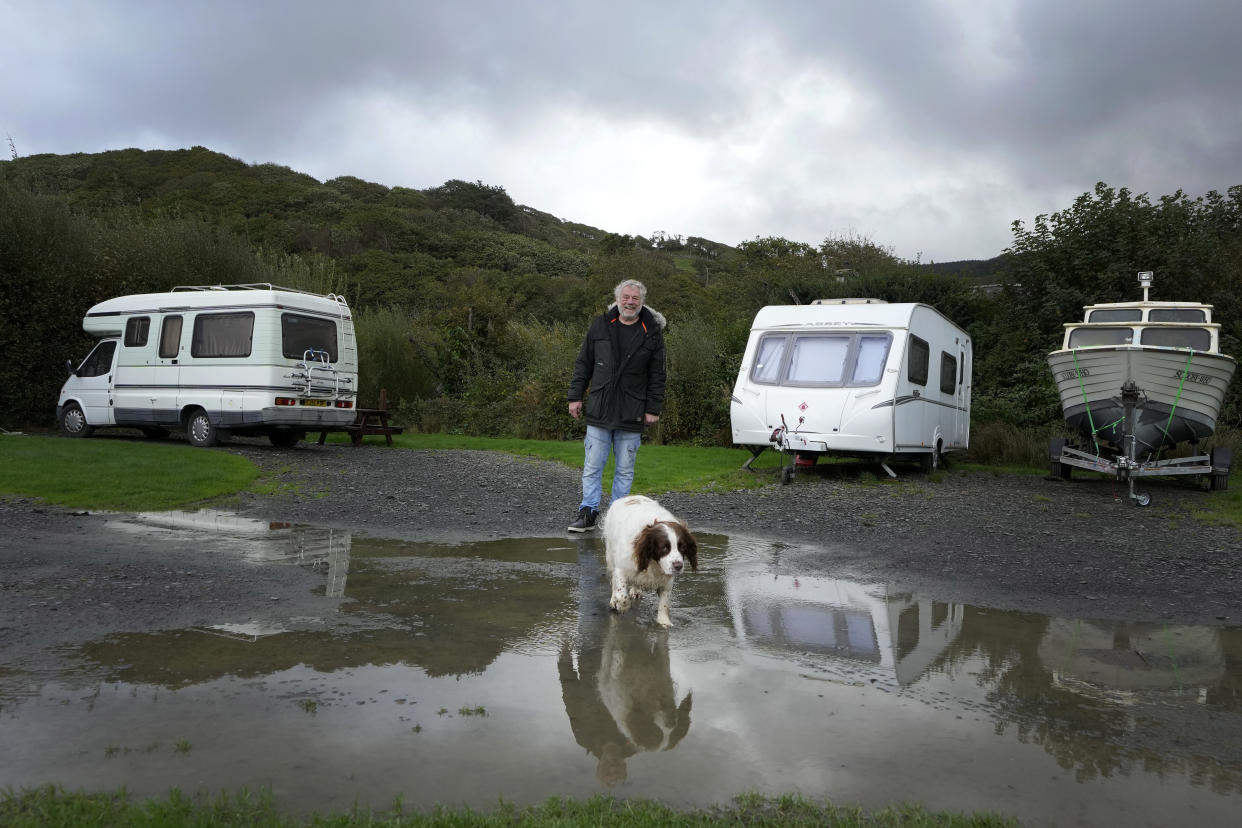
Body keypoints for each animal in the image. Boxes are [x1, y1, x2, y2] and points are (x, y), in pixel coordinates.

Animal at [603, 496, 700, 625]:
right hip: (610, 555)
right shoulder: (621, 569)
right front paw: (621, 605)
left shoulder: (666, 581)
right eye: (664, 547)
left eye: (683, 547)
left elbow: (664, 604)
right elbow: (622, 596)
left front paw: (664, 622)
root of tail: (629, 496)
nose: (678, 566)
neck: (653, 562)